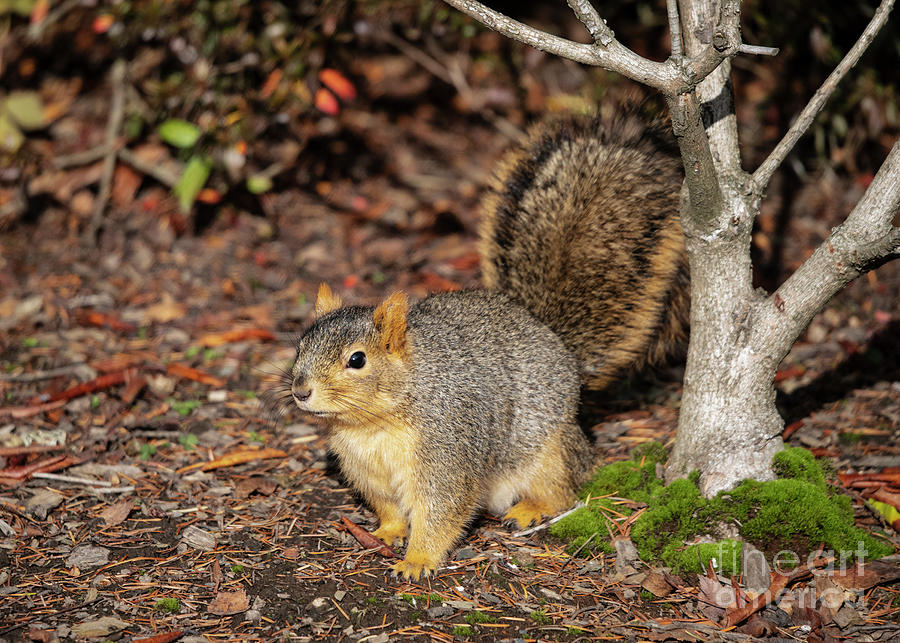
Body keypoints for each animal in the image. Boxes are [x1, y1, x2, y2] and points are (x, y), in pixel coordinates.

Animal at [292, 109, 684, 580]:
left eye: (357, 360)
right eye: (301, 345)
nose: (300, 391)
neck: (371, 424)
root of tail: (557, 345)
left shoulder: (449, 452)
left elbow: (441, 511)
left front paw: (417, 561)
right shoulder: (365, 469)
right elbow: (387, 506)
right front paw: (387, 533)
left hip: (547, 450)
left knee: (566, 486)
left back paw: (531, 508)